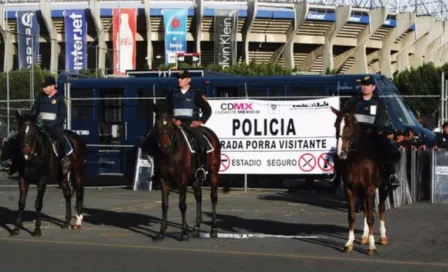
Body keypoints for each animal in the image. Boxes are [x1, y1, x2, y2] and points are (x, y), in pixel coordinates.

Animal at [145, 105, 222, 241]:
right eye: (157, 125)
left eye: (169, 125)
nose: (164, 146)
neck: (171, 152)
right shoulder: (164, 180)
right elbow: (164, 205)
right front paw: (161, 232)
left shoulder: (182, 180)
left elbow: (182, 205)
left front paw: (184, 233)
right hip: (196, 179)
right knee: (198, 196)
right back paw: (196, 228)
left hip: (214, 174)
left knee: (213, 197)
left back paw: (213, 229)